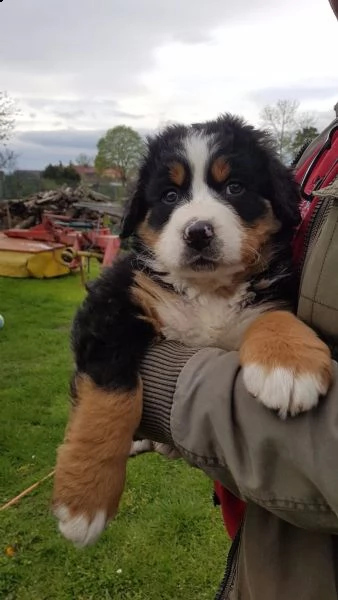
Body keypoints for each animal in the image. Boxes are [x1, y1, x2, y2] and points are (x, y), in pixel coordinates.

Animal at [52, 113, 332, 548]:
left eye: (234, 187)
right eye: (169, 195)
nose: (198, 232)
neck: (208, 291)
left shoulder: (271, 293)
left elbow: (273, 317)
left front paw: (288, 368)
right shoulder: (113, 304)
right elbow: (109, 398)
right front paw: (83, 502)